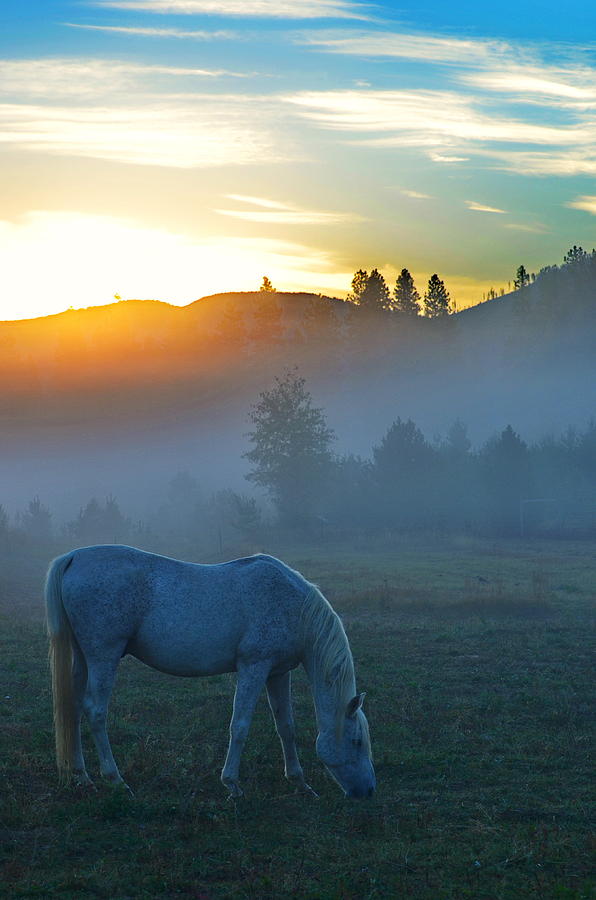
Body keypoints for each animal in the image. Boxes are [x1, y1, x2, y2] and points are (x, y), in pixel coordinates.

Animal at [46, 544, 374, 800]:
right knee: (95, 711)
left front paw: (300, 782)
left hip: (84, 658)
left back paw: (81, 775)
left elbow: (286, 726)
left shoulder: (278, 673)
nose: (368, 791)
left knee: (73, 708)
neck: (292, 604)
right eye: (357, 741)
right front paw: (232, 784)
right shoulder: (254, 667)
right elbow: (239, 725)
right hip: (104, 656)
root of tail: (74, 556)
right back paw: (115, 779)